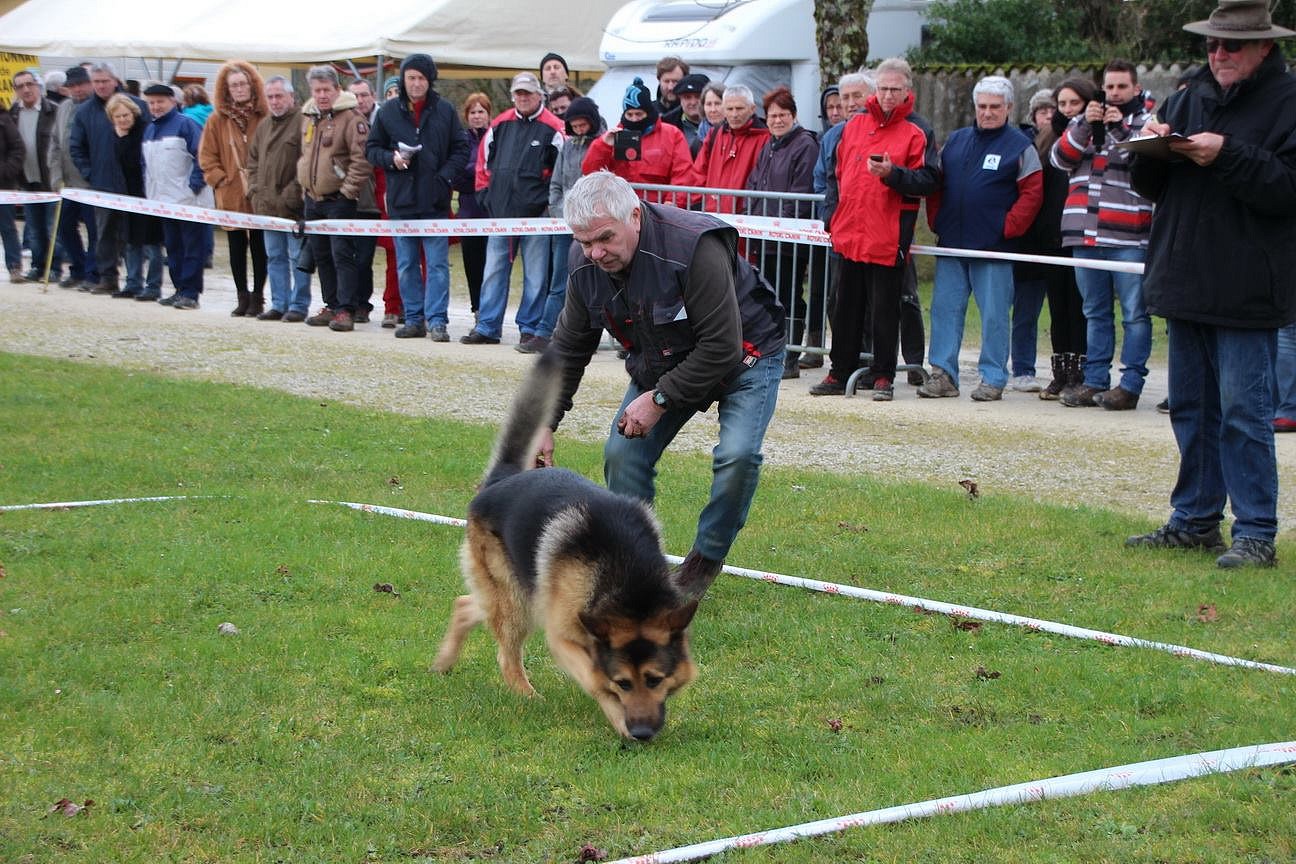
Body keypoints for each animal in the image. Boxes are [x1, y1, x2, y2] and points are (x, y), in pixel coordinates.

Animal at [430, 352, 705, 746]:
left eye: (655, 680)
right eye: (623, 683)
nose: (642, 733)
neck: (627, 579)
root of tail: (501, 479)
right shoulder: (564, 637)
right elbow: (594, 679)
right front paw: (618, 720)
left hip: (515, 596)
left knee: (466, 605)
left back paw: (444, 662)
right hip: (520, 601)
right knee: (505, 655)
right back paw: (528, 696)